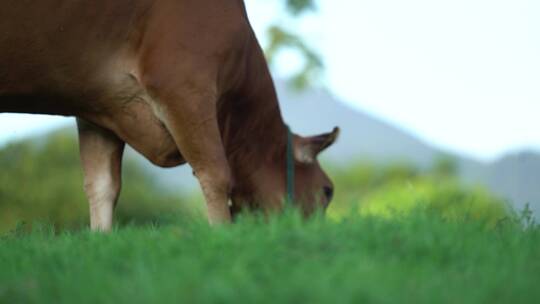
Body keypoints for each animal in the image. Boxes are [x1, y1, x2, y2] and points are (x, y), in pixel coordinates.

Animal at [0, 0, 338, 230]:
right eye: (327, 191)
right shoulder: (183, 84)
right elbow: (216, 173)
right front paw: (222, 235)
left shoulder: (97, 108)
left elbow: (102, 186)